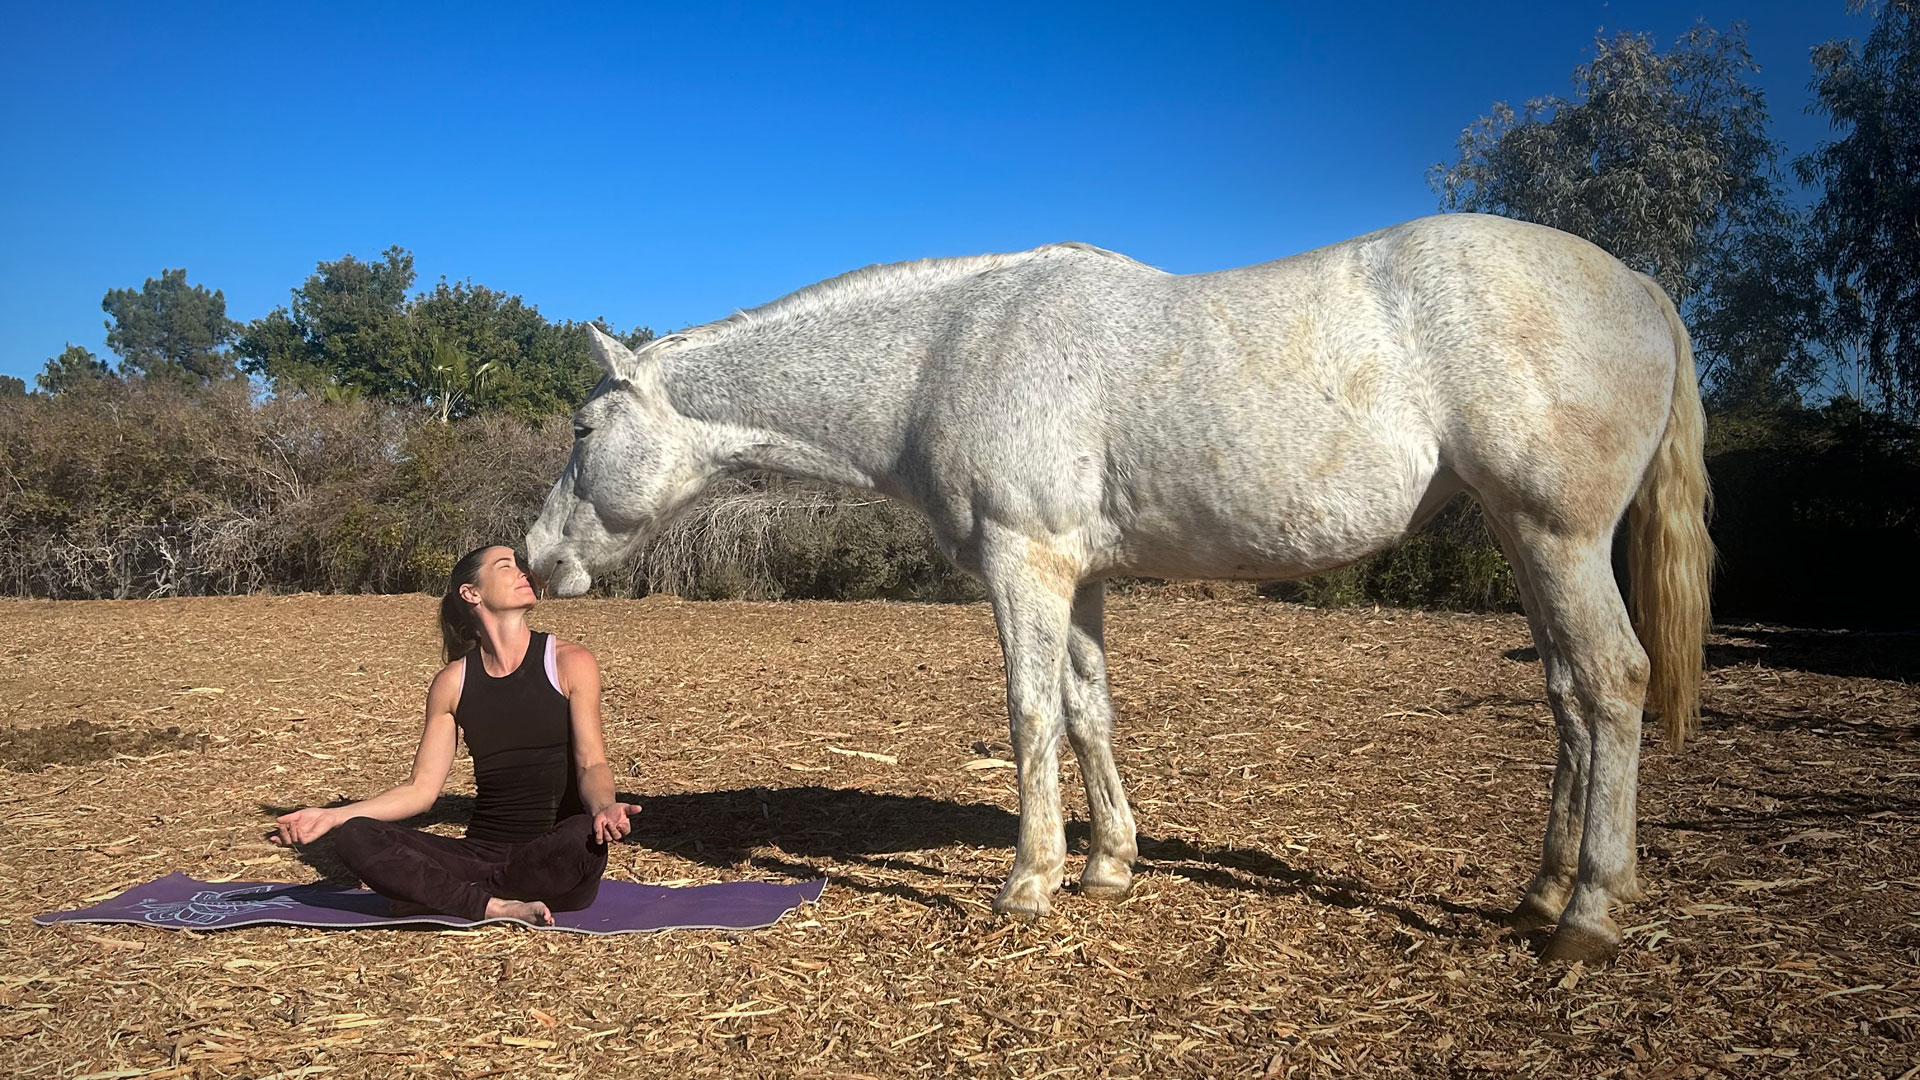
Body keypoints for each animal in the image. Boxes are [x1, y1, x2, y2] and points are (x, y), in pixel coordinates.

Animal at [526, 212, 1712, 957]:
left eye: (583, 429)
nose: (537, 558)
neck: (946, 353)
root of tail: (1643, 286)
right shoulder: (1079, 573)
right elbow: (1091, 711)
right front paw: (1109, 867)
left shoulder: (1025, 563)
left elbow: (1029, 713)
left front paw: (1029, 883)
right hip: (1530, 543)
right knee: (1568, 699)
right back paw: (1542, 895)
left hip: (1557, 535)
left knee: (1611, 681)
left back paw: (1588, 917)